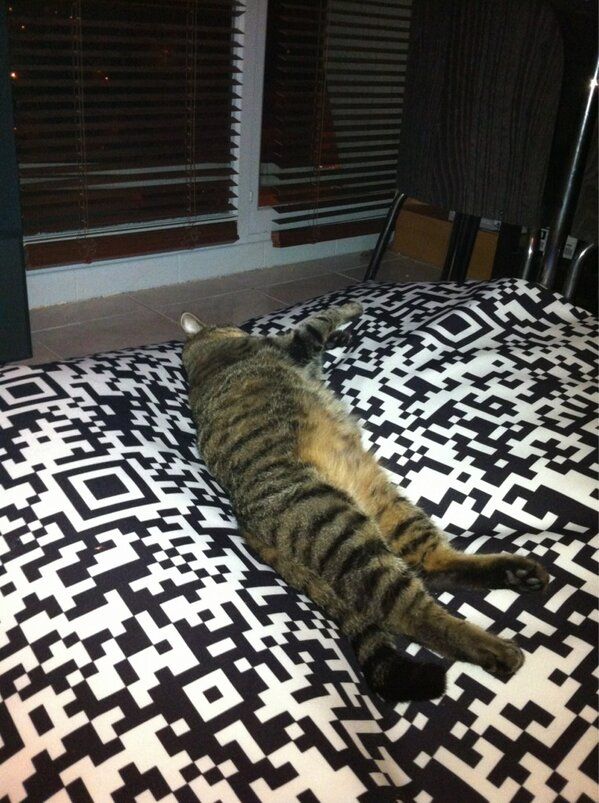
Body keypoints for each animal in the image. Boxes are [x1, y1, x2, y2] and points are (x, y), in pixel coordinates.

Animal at [180, 301, 549, 702]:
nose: (238, 326)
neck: (200, 361)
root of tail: (245, 524)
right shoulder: (293, 344)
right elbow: (319, 320)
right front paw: (349, 310)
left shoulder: (303, 359)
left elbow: (320, 343)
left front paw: (342, 336)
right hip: (346, 534)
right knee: (409, 613)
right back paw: (493, 649)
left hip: (388, 505)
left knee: (430, 563)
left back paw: (515, 573)